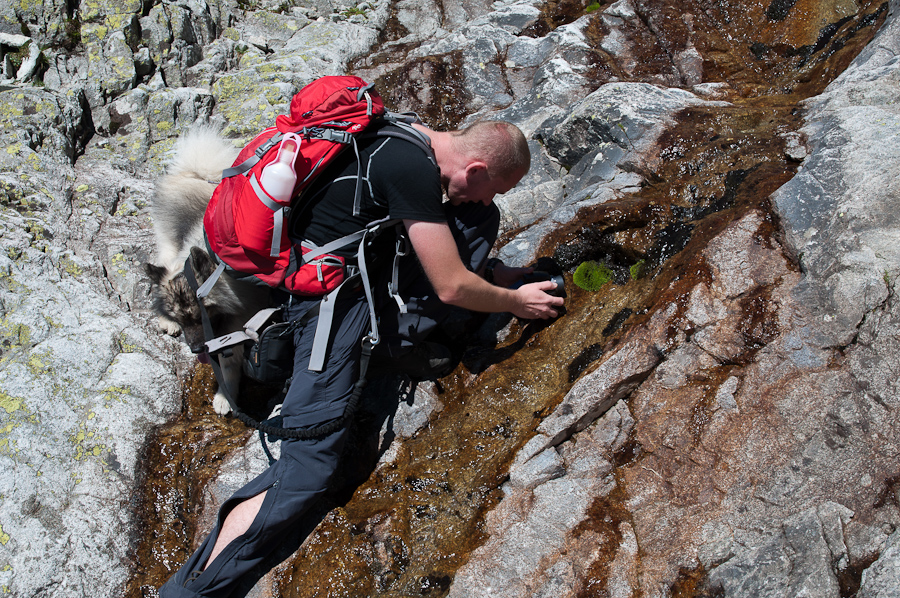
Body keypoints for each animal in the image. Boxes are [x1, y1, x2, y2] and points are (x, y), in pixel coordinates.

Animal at [144, 126, 268, 418]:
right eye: (183, 319)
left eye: (200, 315)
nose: (196, 350)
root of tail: (193, 173)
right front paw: (226, 396)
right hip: (168, 244)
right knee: (158, 270)